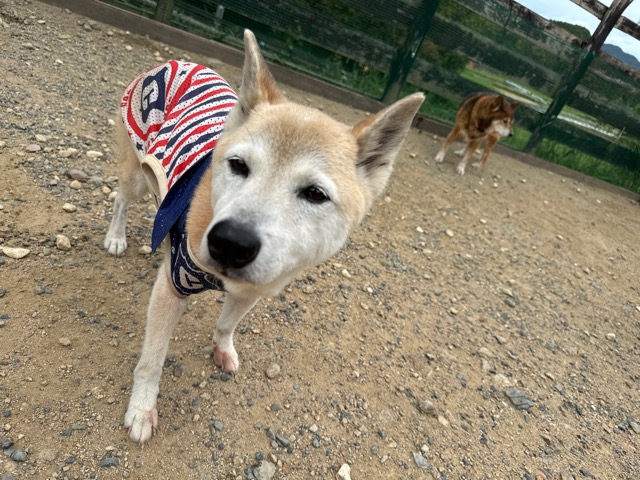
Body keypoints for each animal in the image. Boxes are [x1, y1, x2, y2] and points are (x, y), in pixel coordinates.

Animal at [104, 29, 424, 444]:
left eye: (315, 194)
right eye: (238, 165)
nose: (230, 241)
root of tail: (179, 62)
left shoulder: (252, 290)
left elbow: (227, 324)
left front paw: (222, 349)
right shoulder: (172, 287)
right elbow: (152, 360)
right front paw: (142, 409)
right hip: (138, 175)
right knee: (120, 199)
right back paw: (116, 237)